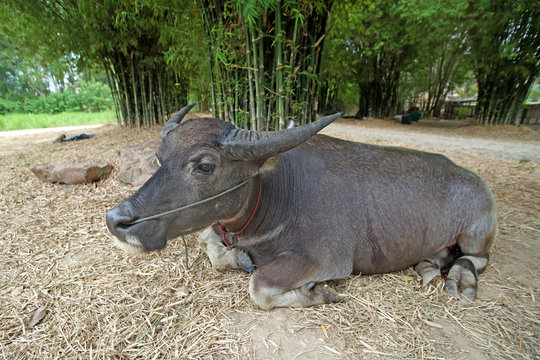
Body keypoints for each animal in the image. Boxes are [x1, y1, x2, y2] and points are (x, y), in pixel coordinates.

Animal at [106, 103, 498, 310]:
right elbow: (214, 248)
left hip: (479, 232)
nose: (116, 220)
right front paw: (237, 258)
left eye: (204, 165)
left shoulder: (327, 258)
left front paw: (319, 292)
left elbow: (259, 286)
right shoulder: (219, 228)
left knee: (475, 258)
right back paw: (429, 267)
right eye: (160, 158)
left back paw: (460, 278)